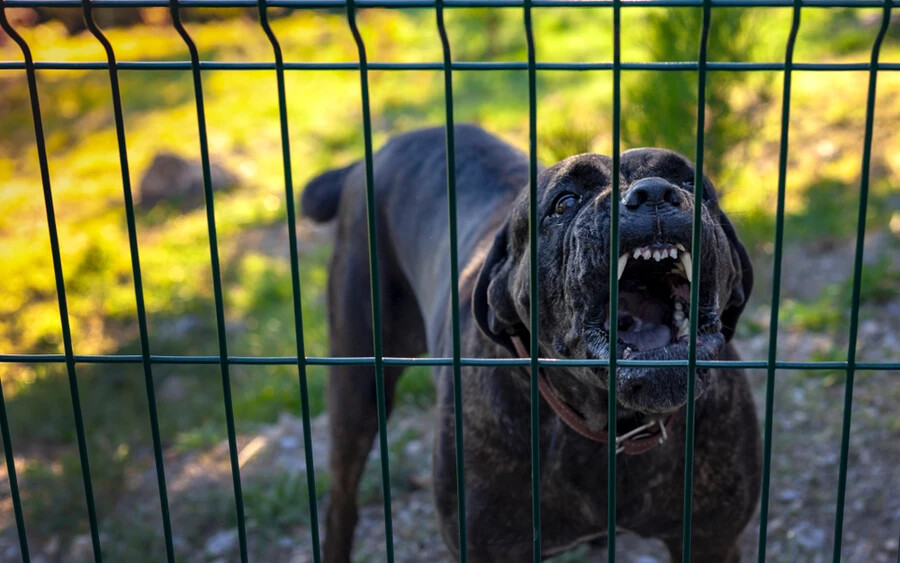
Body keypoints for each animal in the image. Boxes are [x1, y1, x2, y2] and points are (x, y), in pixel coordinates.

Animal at [302, 125, 760, 563]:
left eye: (690, 182)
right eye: (565, 203)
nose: (653, 193)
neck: (610, 423)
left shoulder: (711, 540)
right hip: (357, 389)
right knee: (341, 500)